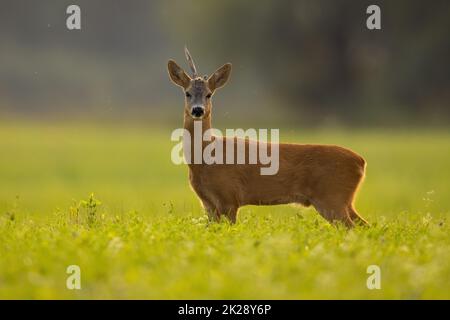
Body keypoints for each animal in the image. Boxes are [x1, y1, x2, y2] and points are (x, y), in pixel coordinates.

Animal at [167, 48, 368, 228]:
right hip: (343, 201)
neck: (205, 158)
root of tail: (361, 162)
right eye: (187, 93)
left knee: (352, 227)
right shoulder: (208, 203)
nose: (198, 110)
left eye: (209, 94)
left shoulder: (229, 197)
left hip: (332, 197)